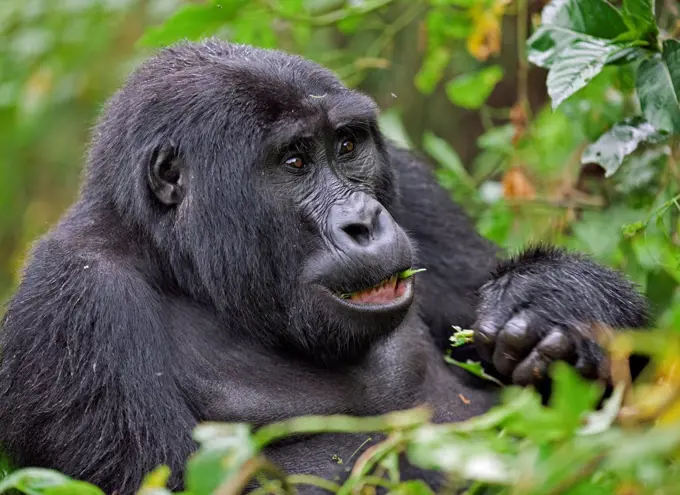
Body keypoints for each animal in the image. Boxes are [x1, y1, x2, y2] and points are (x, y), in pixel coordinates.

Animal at [0, 39, 648, 495]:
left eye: (346, 146)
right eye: (294, 161)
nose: (363, 220)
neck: (184, 267)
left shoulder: (410, 187)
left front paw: (556, 303)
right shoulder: (75, 308)